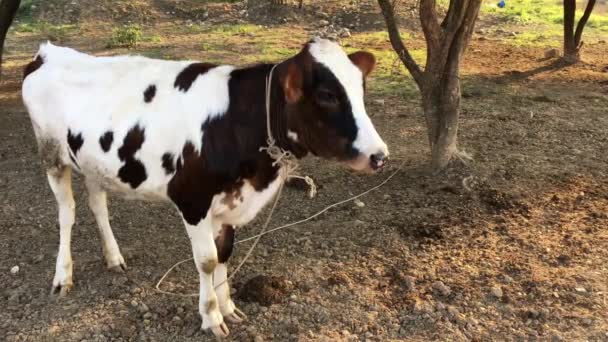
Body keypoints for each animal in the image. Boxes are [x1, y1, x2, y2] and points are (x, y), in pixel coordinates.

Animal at [22, 38, 390, 336]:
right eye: (327, 95)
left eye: (361, 89)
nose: (379, 155)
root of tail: (48, 51)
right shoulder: (192, 199)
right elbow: (207, 260)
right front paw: (212, 317)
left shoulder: (230, 200)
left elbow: (225, 253)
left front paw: (229, 307)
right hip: (52, 156)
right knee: (67, 214)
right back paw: (63, 276)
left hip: (93, 163)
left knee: (98, 205)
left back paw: (114, 257)